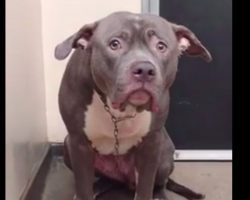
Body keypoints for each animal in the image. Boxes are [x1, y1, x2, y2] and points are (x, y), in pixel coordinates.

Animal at [54, 11, 211, 200]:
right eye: (114, 44)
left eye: (161, 46)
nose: (144, 69)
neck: (117, 110)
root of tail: (125, 180)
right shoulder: (78, 143)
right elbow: (84, 188)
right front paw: (84, 193)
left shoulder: (151, 144)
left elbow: (145, 188)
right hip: (67, 146)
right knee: (104, 180)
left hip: (165, 153)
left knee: (161, 183)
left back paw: (159, 195)